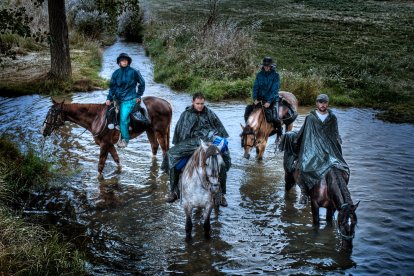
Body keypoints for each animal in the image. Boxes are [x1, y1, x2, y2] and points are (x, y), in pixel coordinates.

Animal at [41, 96, 171, 179]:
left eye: (53, 114)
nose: (43, 131)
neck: (97, 118)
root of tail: (167, 104)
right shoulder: (109, 144)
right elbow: (117, 160)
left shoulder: (104, 144)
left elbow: (100, 166)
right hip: (150, 131)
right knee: (155, 147)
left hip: (160, 132)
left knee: (165, 151)